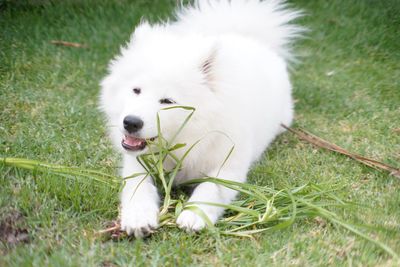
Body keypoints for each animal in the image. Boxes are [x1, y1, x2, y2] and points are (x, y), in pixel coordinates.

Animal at [99, 0, 300, 239]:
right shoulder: (137, 161)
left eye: (167, 101)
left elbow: (210, 188)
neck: (185, 140)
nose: (130, 122)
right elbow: (137, 186)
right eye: (136, 90)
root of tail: (245, 36)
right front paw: (138, 216)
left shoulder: (228, 166)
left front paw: (194, 214)